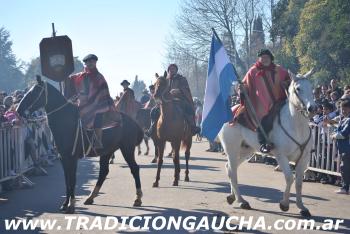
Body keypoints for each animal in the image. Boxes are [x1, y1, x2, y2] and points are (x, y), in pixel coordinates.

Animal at [17, 77, 143, 214]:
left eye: (34, 92)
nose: (18, 110)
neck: (65, 121)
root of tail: (133, 122)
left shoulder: (72, 158)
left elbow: (72, 180)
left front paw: (71, 206)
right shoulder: (63, 158)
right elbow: (67, 180)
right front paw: (65, 204)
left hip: (127, 149)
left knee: (134, 169)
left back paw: (138, 198)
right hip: (107, 152)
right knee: (103, 172)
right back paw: (91, 197)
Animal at [221, 70, 318, 218]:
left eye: (311, 87)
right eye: (298, 89)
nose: (312, 108)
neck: (296, 126)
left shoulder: (303, 158)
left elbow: (299, 183)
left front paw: (302, 208)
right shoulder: (281, 156)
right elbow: (289, 178)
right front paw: (284, 204)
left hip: (246, 150)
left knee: (231, 168)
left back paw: (232, 197)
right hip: (232, 149)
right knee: (232, 170)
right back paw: (242, 201)